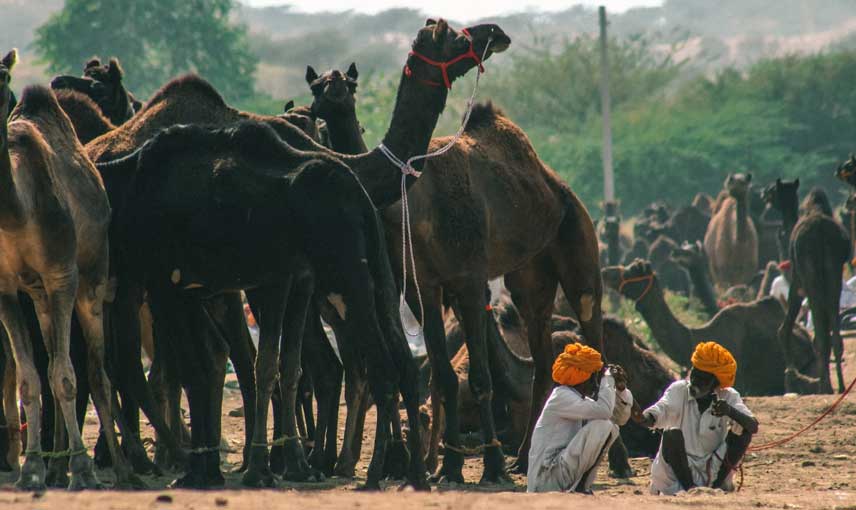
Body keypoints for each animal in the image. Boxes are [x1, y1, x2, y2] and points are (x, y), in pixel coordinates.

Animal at [0, 50, 140, 490]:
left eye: (4, 77)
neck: (17, 208)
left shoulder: (62, 275)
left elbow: (65, 376)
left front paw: (81, 468)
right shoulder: (6, 289)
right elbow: (31, 378)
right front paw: (32, 468)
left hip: (91, 281)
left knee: (95, 371)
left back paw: (119, 468)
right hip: (41, 297)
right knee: (51, 363)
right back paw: (55, 464)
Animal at [764, 179, 848, 394]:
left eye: (773, 190)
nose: (763, 193)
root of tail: (819, 231)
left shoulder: (797, 282)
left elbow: (784, 329)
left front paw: (791, 374)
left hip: (811, 276)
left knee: (818, 333)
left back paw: (825, 386)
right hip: (833, 273)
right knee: (832, 330)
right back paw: (840, 385)